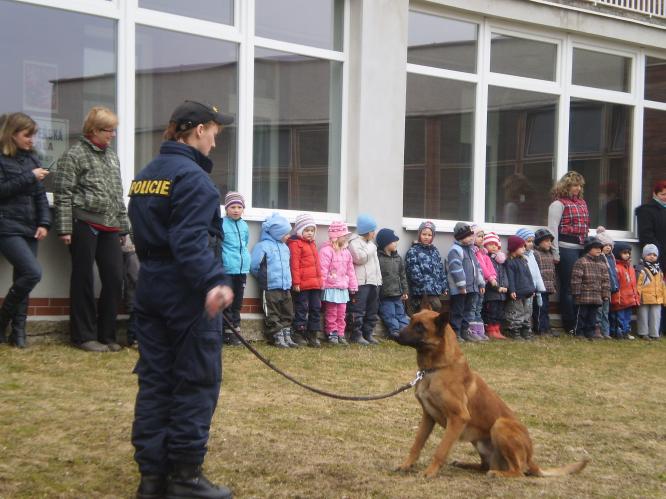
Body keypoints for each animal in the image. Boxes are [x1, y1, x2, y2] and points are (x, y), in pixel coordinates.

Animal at [394, 310, 588, 478]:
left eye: (420, 327)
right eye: (411, 321)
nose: (395, 335)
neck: (435, 369)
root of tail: (531, 458)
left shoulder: (458, 418)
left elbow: (441, 450)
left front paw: (430, 472)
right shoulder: (428, 416)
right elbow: (416, 444)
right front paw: (406, 465)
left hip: (500, 425)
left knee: (518, 471)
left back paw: (498, 474)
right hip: (479, 442)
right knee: (484, 466)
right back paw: (465, 464)